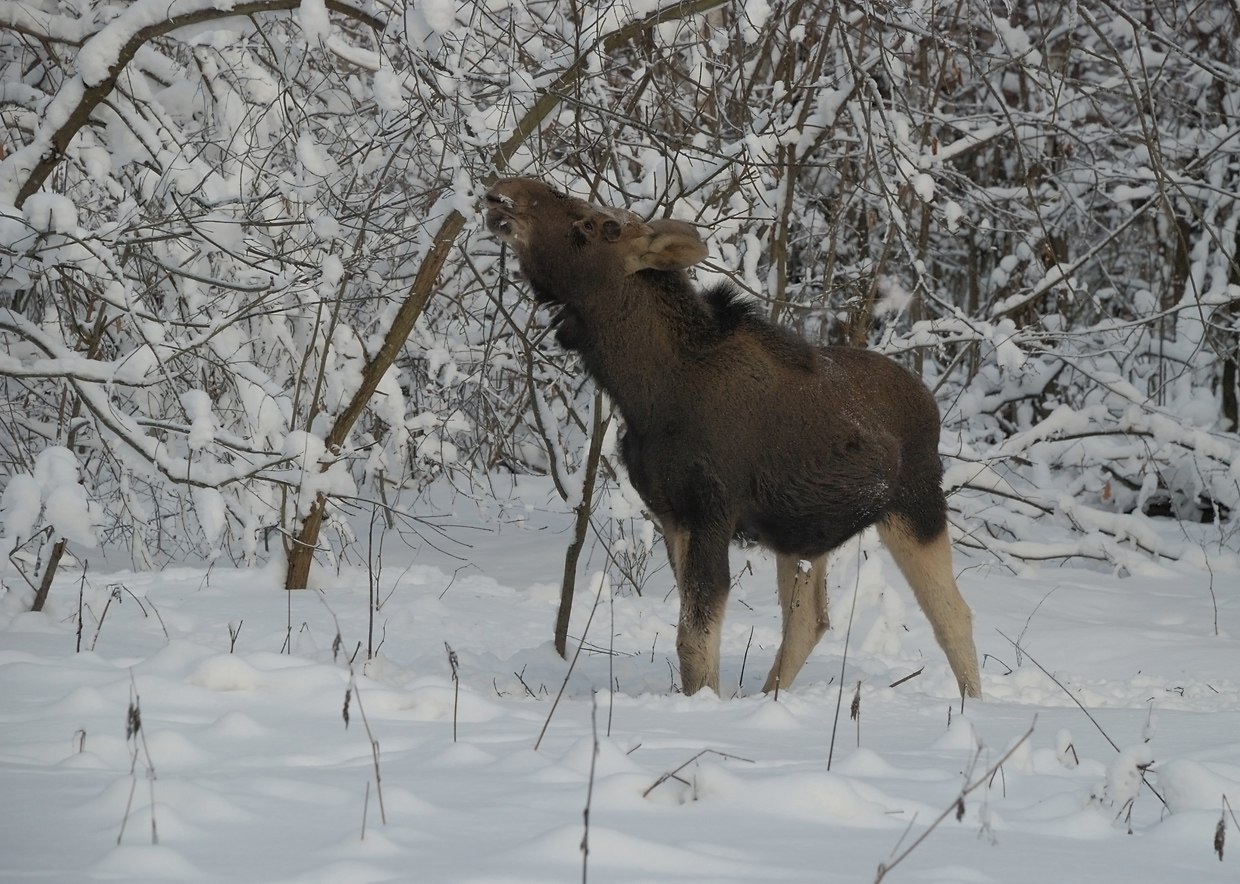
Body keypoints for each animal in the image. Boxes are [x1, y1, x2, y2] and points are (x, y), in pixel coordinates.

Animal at [483, 177, 977, 694]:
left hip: (916, 506)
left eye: (603, 226)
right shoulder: (671, 513)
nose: (502, 193)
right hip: (800, 535)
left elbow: (694, 637)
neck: (646, 391)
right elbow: (692, 632)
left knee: (952, 615)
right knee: (809, 621)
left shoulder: (710, 510)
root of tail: (930, 402)